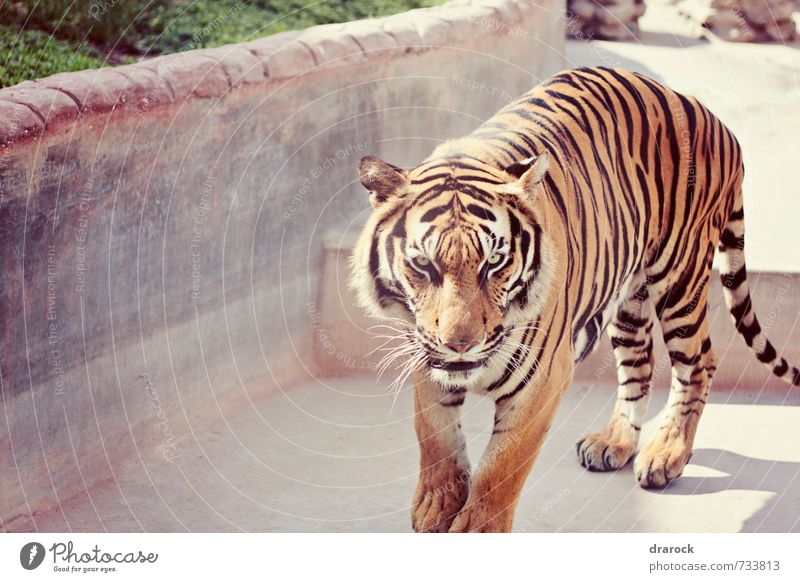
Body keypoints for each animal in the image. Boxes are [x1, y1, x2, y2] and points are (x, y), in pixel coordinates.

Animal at [350, 67, 800, 532]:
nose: (460, 344)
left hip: (679, 277)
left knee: (698, 363)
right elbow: (433, 433)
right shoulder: (423, 352)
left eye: (494, 262)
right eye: (423, 264)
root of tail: (711, 116)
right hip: (629, 298)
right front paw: (437, 504)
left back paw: (666, 454)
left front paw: (476, 526)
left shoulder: (543, 379)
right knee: (641, 363)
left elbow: (502, 467)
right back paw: (614, 444)